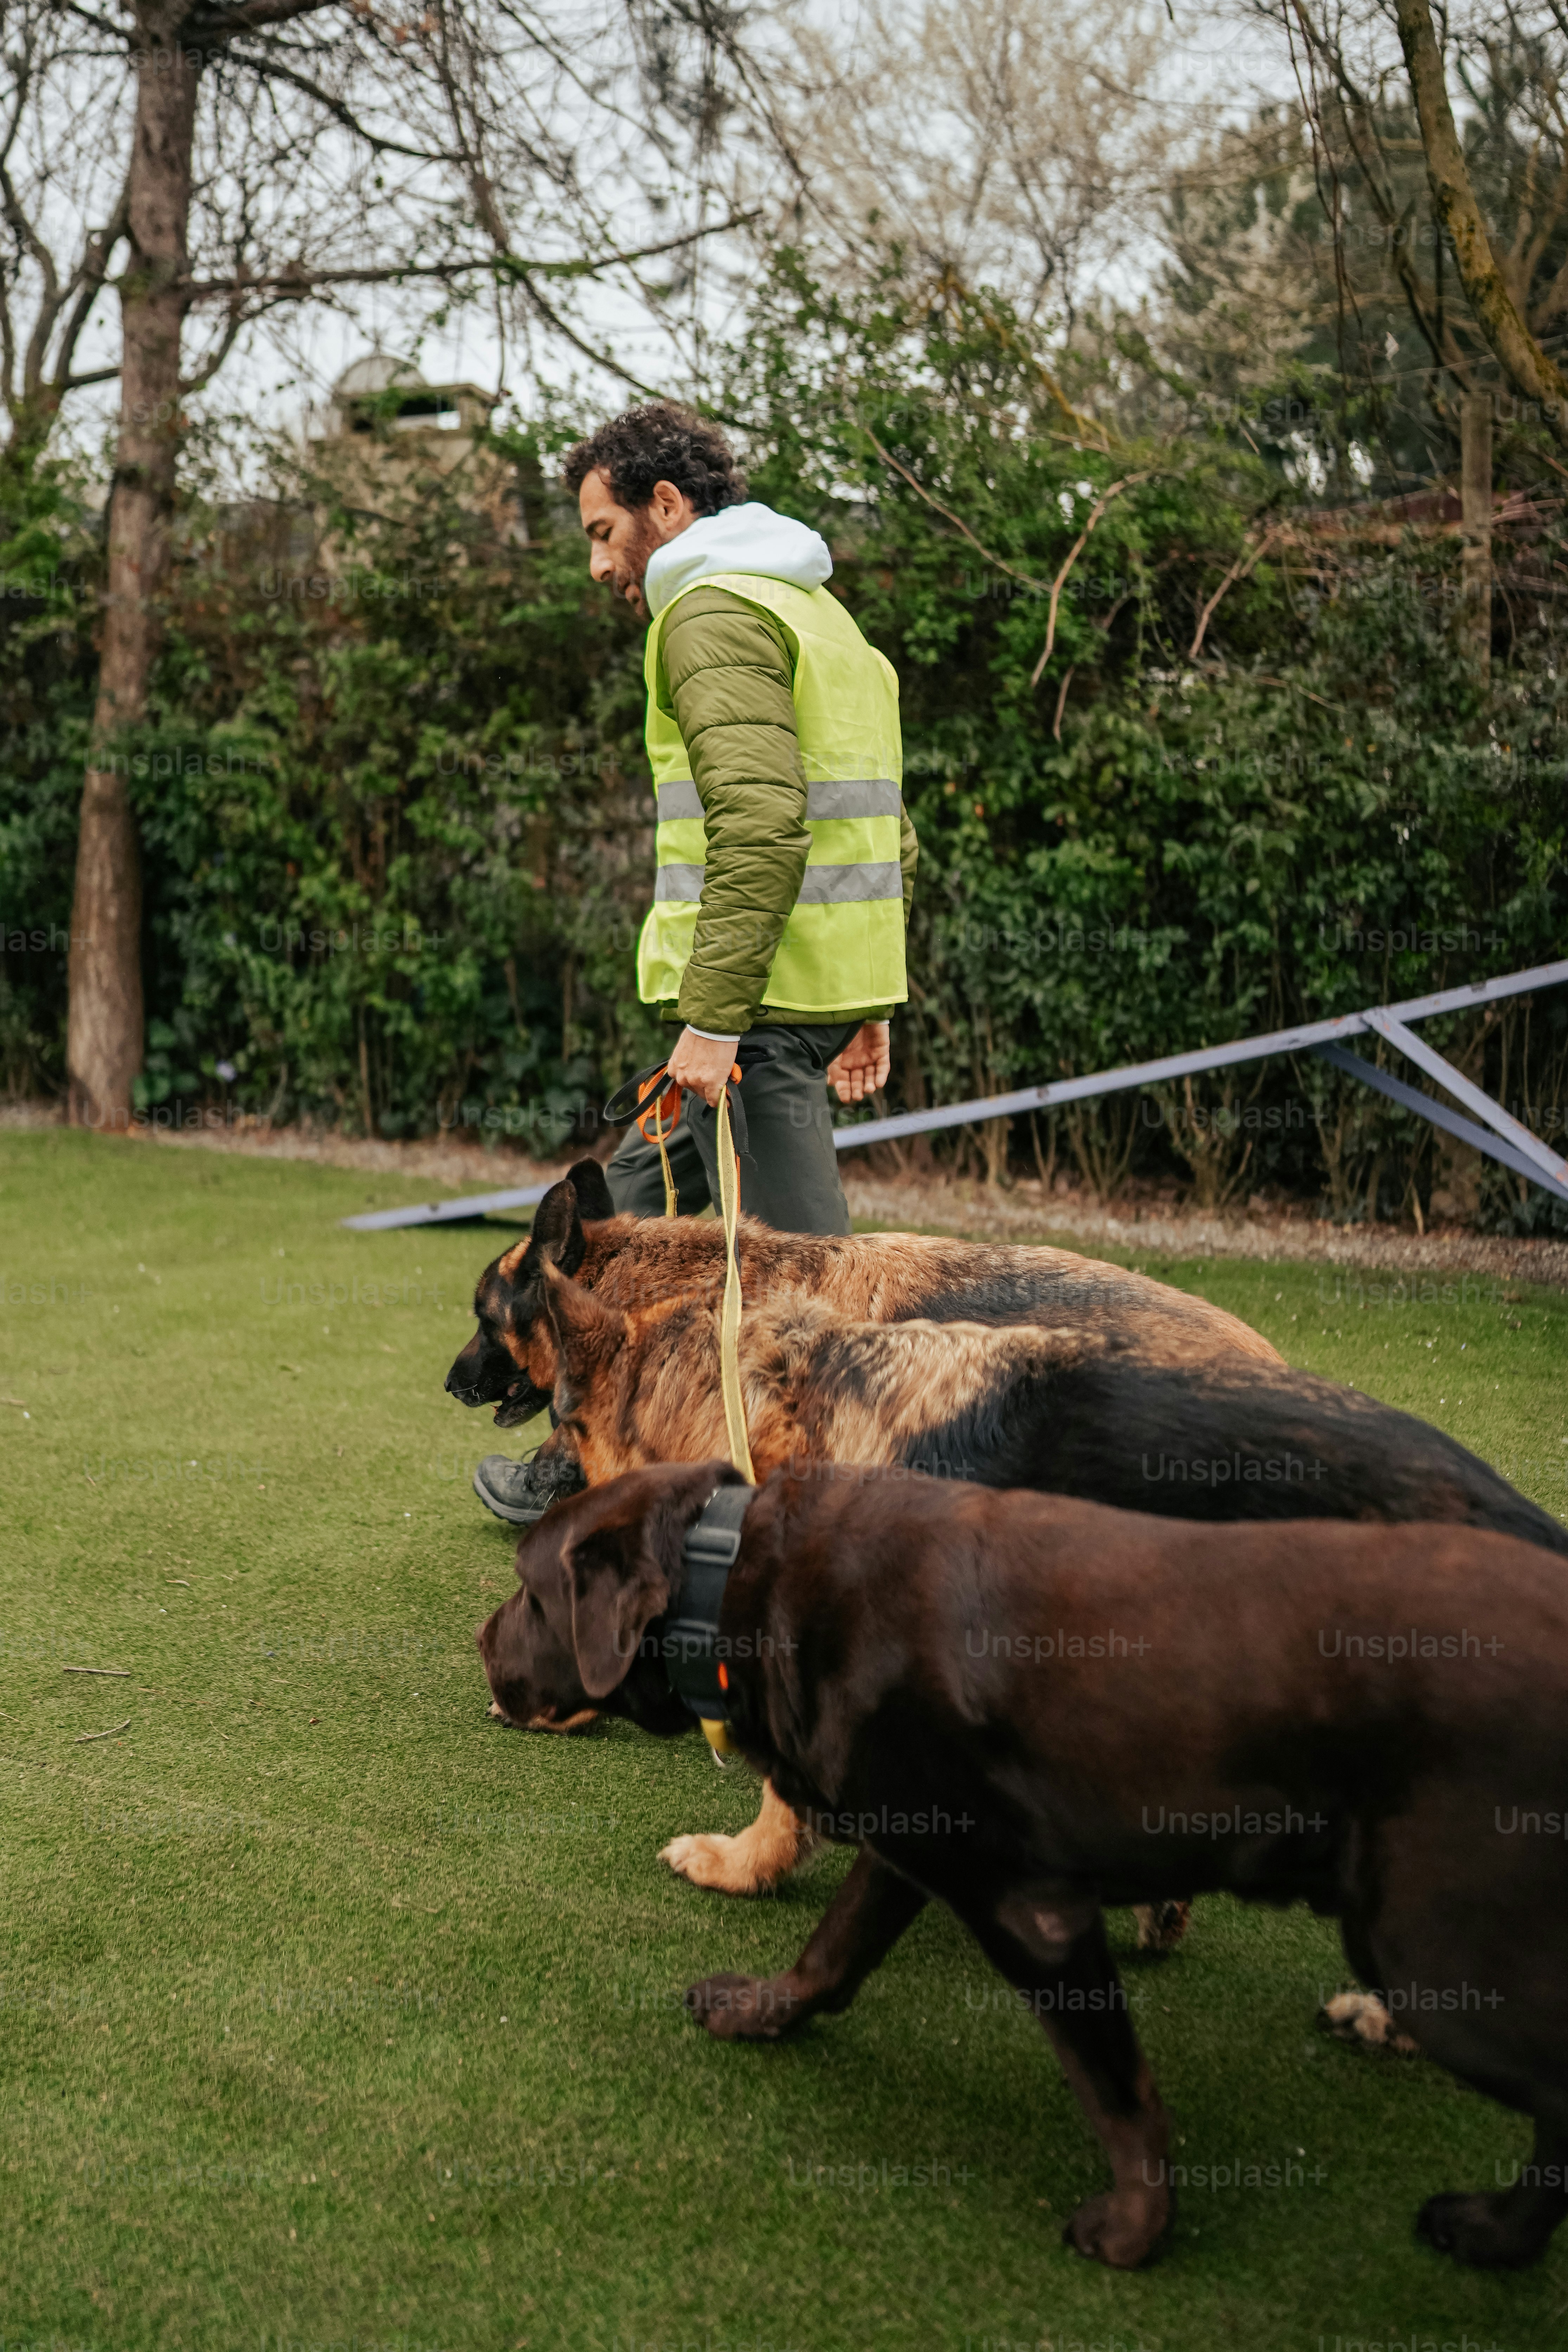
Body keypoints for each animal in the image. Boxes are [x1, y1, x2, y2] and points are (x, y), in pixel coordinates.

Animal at [475, 1458, 1568, 2267]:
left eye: (529, 1594)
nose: (480, 1642)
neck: (737, 1574)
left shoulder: (1030, 1909)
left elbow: (1118, 2093)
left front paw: (1135, 2229)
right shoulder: (909, 1848)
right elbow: (827, 1959)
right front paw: (755, 2012)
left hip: (1427, 1945)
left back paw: (1490, 2230)